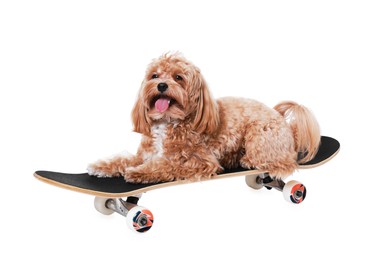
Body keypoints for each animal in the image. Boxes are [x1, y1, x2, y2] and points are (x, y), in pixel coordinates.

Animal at [87, 52, 318, 183]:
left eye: (178, 77)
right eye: (154, 75)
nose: (161, 85)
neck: (169, 122)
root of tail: (287, 126)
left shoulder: (199, 162)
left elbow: (166, 165)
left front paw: (138, 173)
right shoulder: (146, 153)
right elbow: (124, 159)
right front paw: (101, 166)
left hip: (259, 135)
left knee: (281, 164)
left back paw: (248, 161)